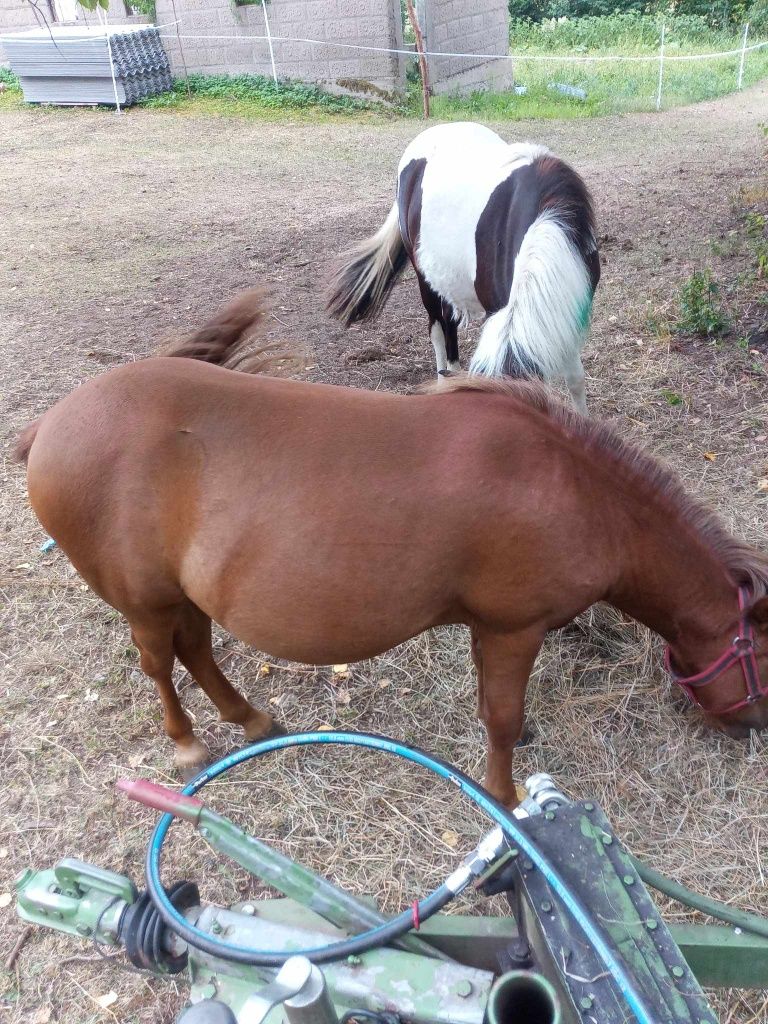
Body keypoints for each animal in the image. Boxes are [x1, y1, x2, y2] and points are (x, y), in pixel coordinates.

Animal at [16, 290, 768, 806]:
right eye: (761, 654)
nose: (755, 728)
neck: (571, 488)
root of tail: (52, 424)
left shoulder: (488, 629)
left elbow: (493, 707)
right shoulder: (514, 627)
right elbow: (501, 719)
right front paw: (506, 798)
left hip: (185, 595)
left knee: (196, 651)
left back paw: (252, 720)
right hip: (145, 602)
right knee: (159, 663)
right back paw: (189, 744)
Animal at [325, 124, 602, 415]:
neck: (547, 215)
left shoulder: (571, 304)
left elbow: (575, 379)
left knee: (449, 323)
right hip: (425, 279)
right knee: (438, 329)